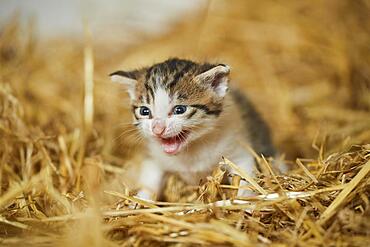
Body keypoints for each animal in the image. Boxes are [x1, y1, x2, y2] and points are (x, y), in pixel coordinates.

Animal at [111, 58, 282, 201]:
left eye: (180, 109)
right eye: (144, 111)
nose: (157, 129)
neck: (190, 150)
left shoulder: (239, 151)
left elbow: (244, 178)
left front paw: (243, 200)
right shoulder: (154, 158)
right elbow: (149, 182)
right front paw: (140, 202)